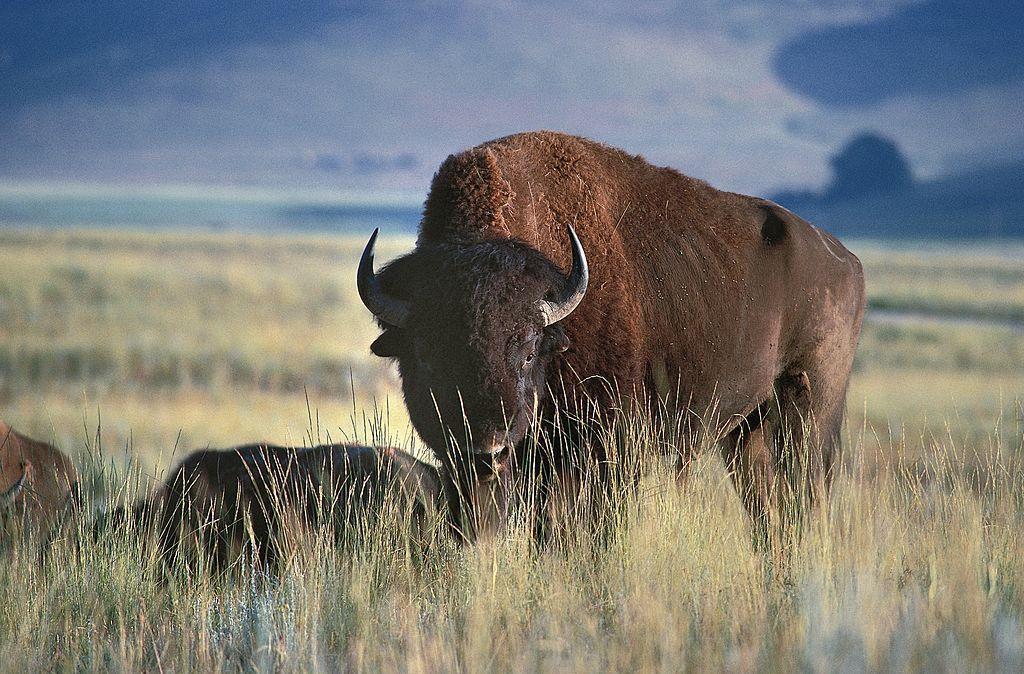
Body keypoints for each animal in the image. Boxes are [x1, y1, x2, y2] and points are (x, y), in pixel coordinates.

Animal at [356, 130, 868, 540]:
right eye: (426, 355)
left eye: (528, 351)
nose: (487, 448)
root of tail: (845, 259)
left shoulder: (606, 448)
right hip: (748, 431)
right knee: (767, 510)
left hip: (810, 415)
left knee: (803, 498)